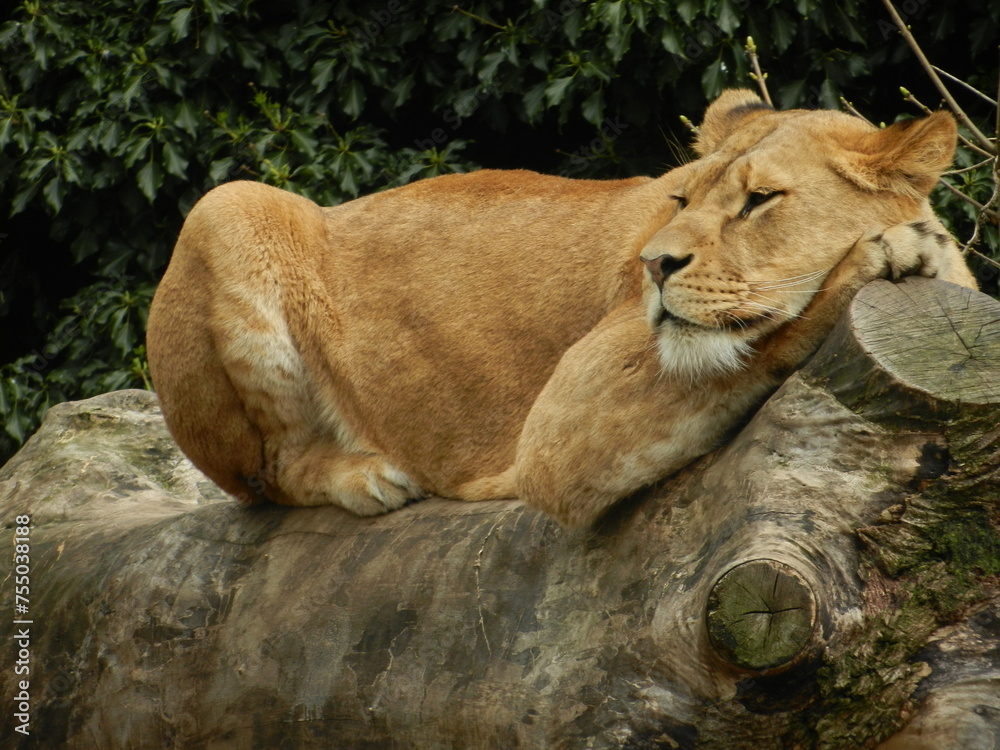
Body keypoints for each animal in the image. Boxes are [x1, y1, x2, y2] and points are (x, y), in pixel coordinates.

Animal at [146, 89, 976, 527]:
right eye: (681, 198)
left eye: (759, 200)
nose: (655, 265)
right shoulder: (561, 423)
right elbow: (775, 331)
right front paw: (888, 250)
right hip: (228, 205)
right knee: (270, 474)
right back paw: (369, 477)